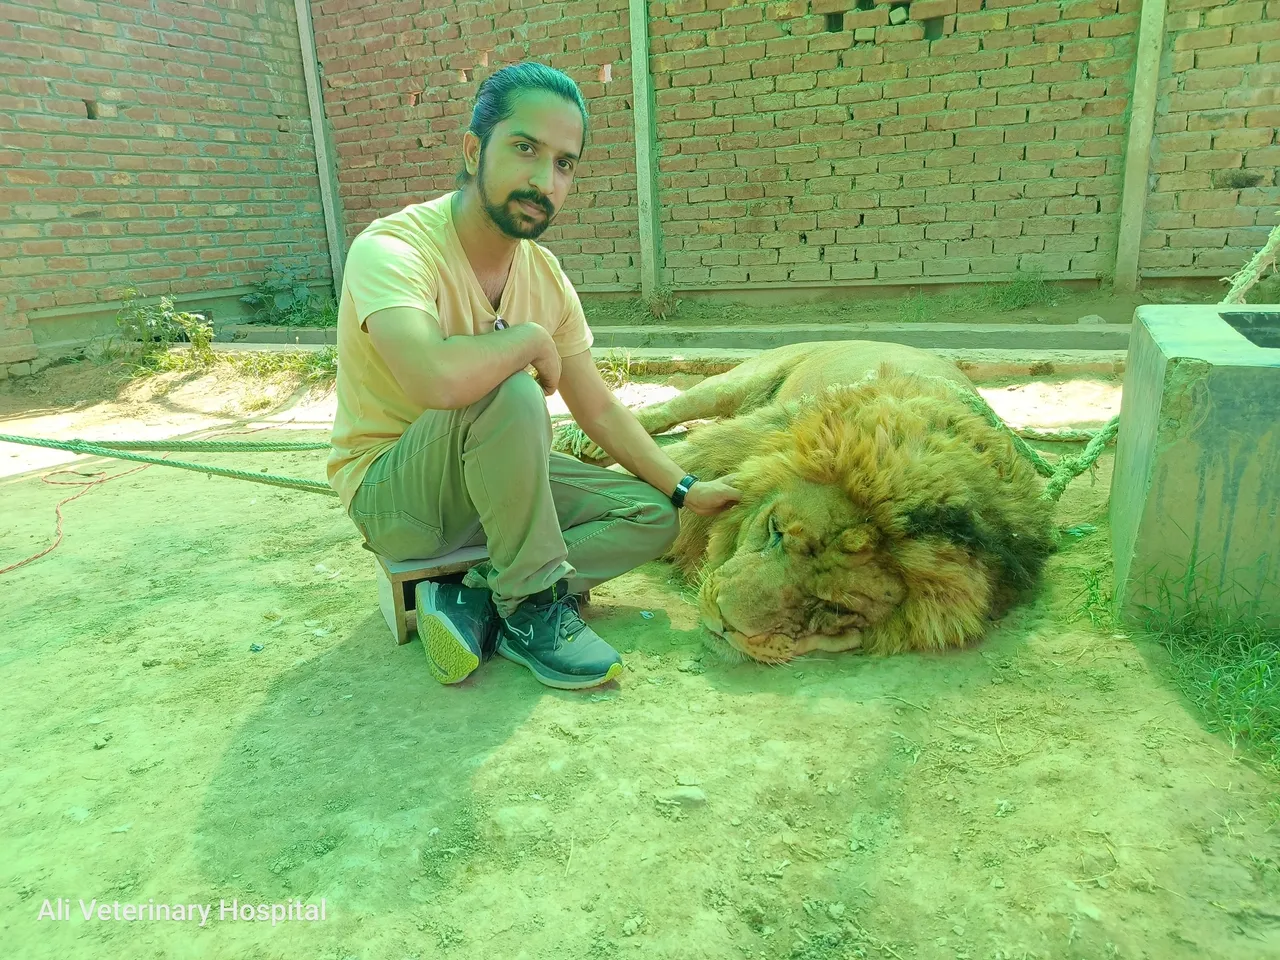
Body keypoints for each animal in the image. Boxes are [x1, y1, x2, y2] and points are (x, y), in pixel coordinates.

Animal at [569, 341, 1056, 664]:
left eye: (834, 608)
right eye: (775, 530)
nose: (723, 621)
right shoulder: (752, 436)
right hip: (738, 381)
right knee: (665, 409)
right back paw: (577, 438)